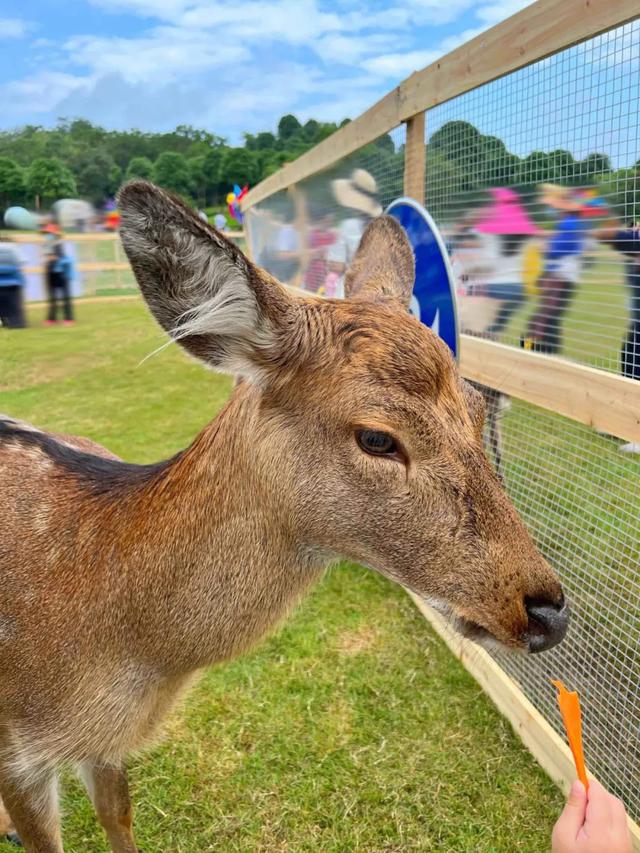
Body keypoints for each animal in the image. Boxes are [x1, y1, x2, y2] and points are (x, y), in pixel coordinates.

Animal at [0, 181, 568, 852]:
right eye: (377, 438)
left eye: (479, 408)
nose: (548, 612)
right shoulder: (17, 757)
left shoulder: (108, 746)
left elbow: (120, 820)